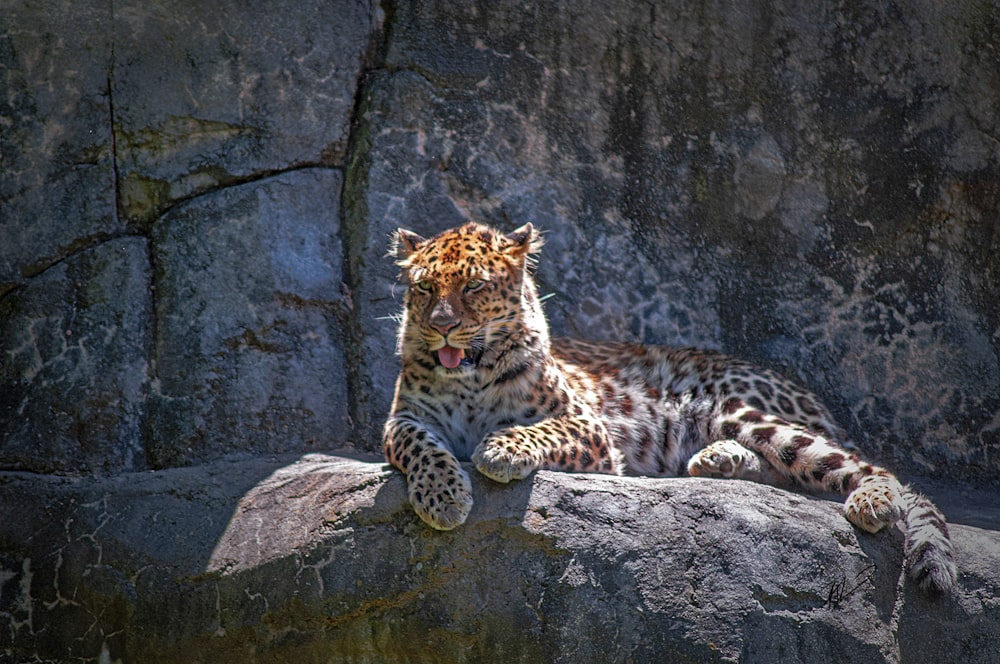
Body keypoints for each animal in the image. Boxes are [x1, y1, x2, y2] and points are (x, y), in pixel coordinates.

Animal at [380, 220, 952, 592]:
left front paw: (496, 450)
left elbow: (535, 430)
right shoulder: (403, 418)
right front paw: (442, 496)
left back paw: (871, 501)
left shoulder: (588, 427)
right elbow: (417, 446)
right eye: (424, 288)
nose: (443, 325)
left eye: (474, 285)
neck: (471, 378)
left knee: (863, 466)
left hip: (738, 408)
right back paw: (717, 461)